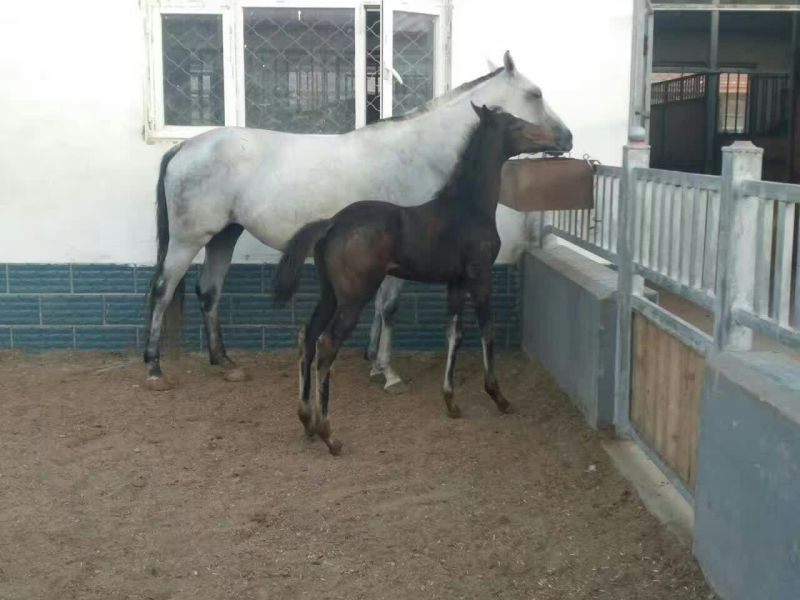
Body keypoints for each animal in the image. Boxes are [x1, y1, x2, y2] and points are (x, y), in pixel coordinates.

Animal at [143, 51, 572, 392]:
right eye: (535, 94)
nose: (567, 138)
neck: (417, 153)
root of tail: (185, 147)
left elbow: (381, 306)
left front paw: (373, 361)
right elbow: (390, 307)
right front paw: (388, 372)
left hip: (223, 236)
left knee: (208, 292)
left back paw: (225, 363)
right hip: (187, 240)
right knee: (163, 290)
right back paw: (154, 368)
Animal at [271, 104, 573, 455]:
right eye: (516, 124)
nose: (563, 138)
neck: (468, 206)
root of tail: (331, 222)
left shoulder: (455, 282)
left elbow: (454, 335)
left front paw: (451, 402)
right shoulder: (480, 276)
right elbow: (487, 331)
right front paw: (498, 396)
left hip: (330, 294)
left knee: (307, 336)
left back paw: (306, 420)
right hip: (353, 297)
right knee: (327, 344)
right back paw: (329, 434)